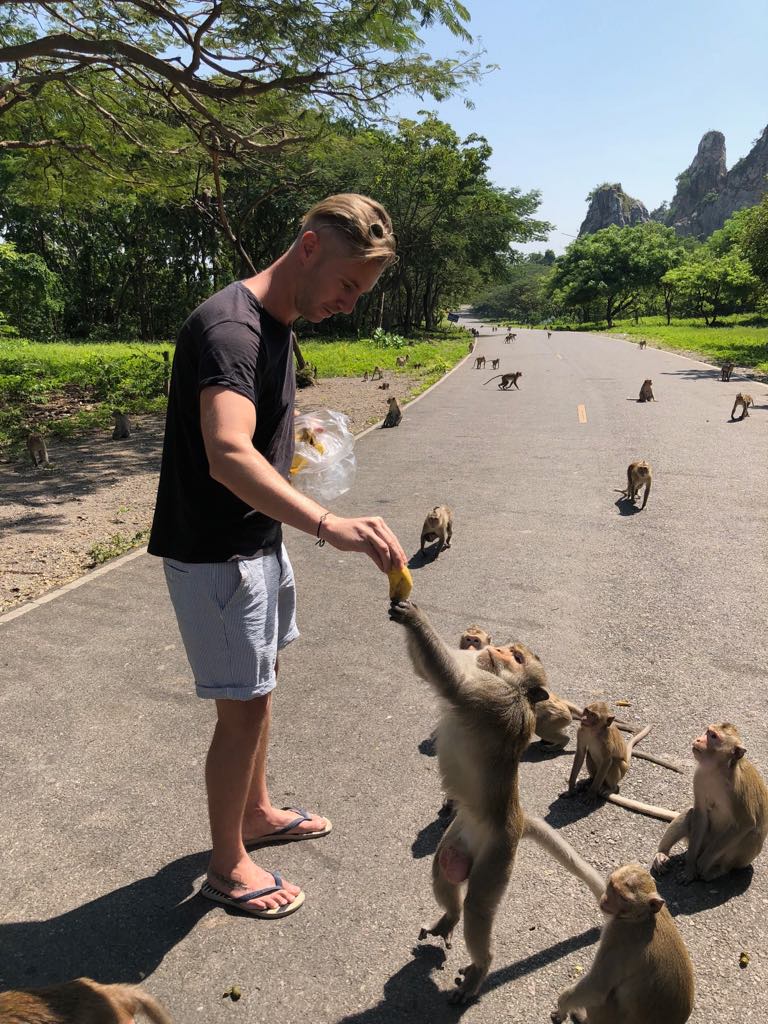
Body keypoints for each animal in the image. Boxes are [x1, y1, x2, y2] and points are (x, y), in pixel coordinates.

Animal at [391, 598, 606, 1003]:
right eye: (509, 648)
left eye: (518, 657)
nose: (499, 650)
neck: (511, 686)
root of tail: (516, 817)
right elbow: (429, 672)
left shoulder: (493, 698)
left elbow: (451, 682)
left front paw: (413, 616)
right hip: (461, 833)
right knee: (443, 867)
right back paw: (449, 918)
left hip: (498, 853)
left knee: (477, 907)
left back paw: (480, 968)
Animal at [552, 864, 696, 1024]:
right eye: (611, 885)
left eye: (623, 898)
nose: (606, 900)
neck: (641, 916)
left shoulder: (618, 936)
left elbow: (597, 988)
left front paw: (562, 1007)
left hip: (606, 1016)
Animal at [655, 720, 768, 880]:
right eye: (708, 732)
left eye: (713, 736)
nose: (698, 739)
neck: (717, 770)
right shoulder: (699, 776)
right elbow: (700, 814)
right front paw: (690, 868)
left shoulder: (739, 789)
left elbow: (745, 823)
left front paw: (703, 862)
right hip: (703, 841)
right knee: (690, 814)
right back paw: (663, 853)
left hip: (739, 858)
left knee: (750, 835)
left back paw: (716, 871)